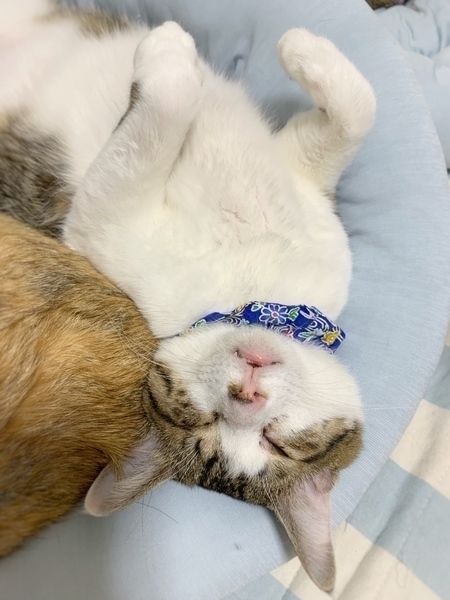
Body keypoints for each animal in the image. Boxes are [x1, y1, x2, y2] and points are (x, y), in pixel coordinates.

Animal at [0, 1, 376, 590]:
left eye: (273, 441)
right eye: (202, 422)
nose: (248, 393)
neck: (249, 288)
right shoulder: (297, 174)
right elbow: (358, 108)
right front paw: (296, 45)